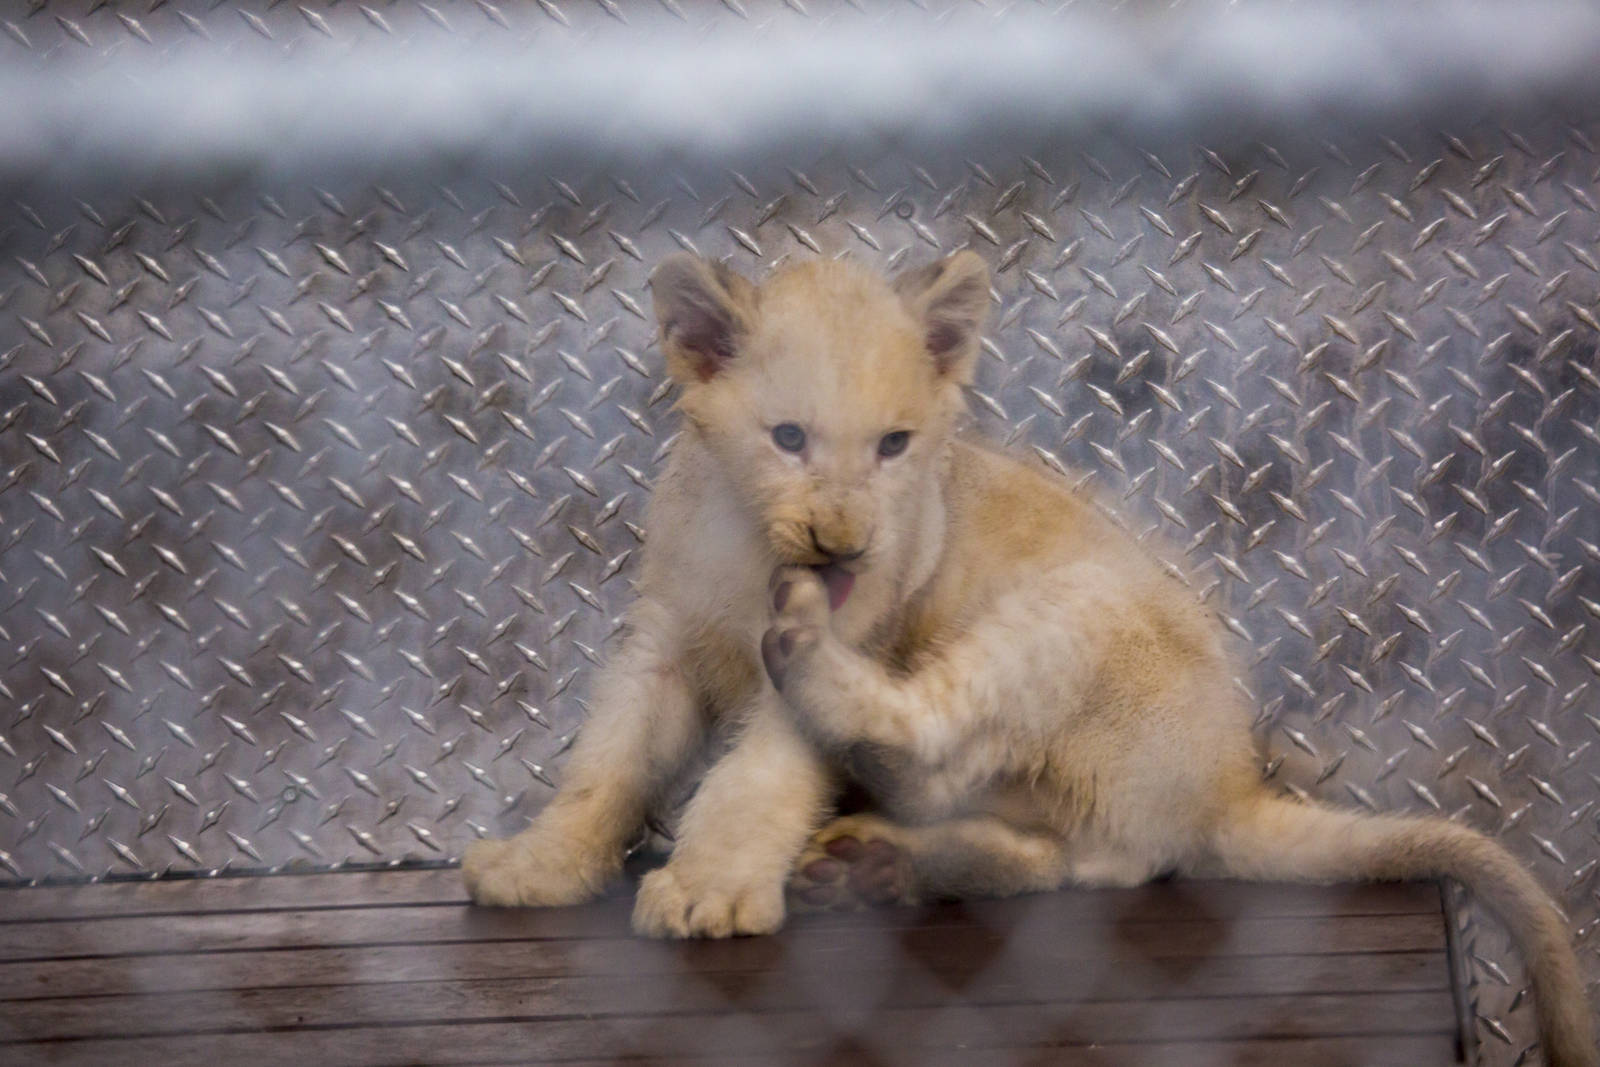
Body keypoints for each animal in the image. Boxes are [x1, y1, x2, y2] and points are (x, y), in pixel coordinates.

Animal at [464, 251, 1596, 1066]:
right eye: (787, 436)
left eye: (894, 445)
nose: (842, 545)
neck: (750, 550)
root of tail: (1230, 783)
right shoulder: (661, 640)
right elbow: (608, 758)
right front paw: (537, 863)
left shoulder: (874, 625)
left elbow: (755, 774)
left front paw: (707, 887)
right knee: (1057, 856)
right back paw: (876, 866)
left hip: (1067, 611)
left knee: (949, 759)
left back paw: (840, 757)